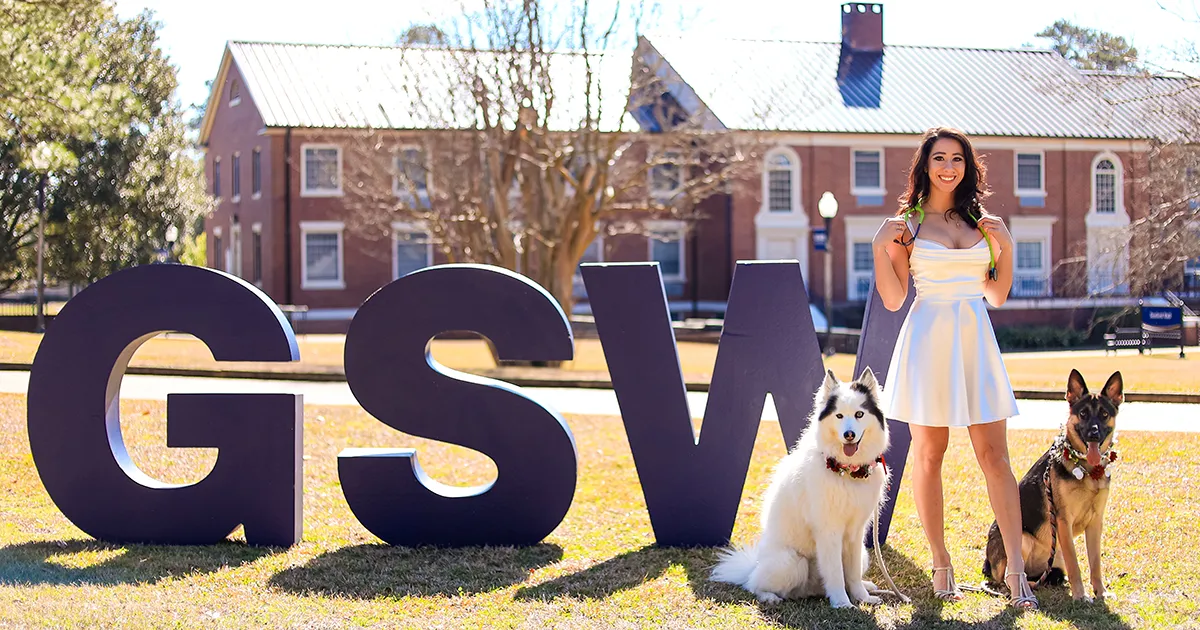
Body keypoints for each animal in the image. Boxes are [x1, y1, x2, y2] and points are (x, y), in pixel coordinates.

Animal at [710, 364, 892, 607]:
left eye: (859, 414)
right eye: (839, 415)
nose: (849, 435)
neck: (846, 471)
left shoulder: (856, 532)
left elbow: (852, 573)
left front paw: (862, 597)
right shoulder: (829, 531)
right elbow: (836, 572)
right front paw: (842, 603)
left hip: (863, 553)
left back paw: (867, 586)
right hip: (792, 562)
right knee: (753, 584)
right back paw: (769, 596)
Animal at [979, 369, 1118, 600]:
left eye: (1104, 414)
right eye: (1083, 414)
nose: (1094, 434)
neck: (1088, 471)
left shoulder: (1096, 522)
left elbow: (1095, 563)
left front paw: (1101, 592)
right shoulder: (1063, 521)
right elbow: (1075, 563)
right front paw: (1080, 595)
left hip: (1055, 558)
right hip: (1022, 539)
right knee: (1009, 576)